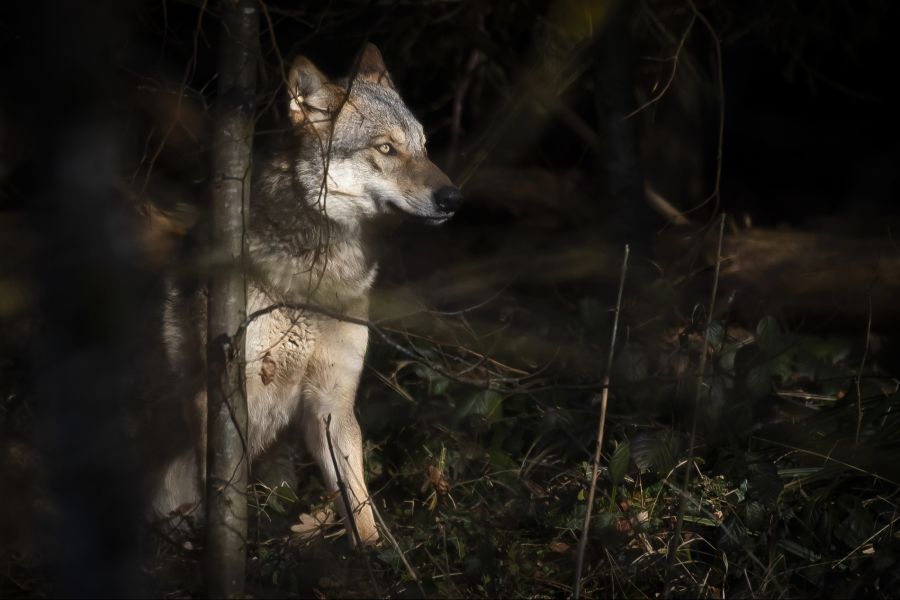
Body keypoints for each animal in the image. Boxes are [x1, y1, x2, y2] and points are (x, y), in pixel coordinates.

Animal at [153, 44, 462, 545]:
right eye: (385, 148)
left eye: (424, 147)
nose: (454, 198)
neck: (317, 279)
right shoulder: (215, 401)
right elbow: (222, 500)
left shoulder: (331, 404)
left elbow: (360, 509)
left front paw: (374, 557)